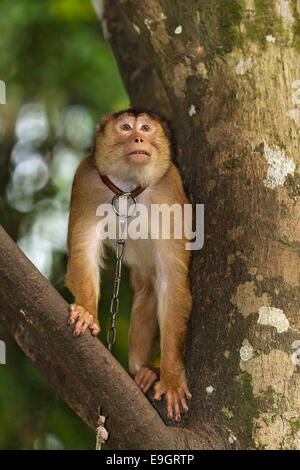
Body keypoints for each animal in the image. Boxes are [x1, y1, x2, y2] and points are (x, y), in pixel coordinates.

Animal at [65, 108, 192, 420]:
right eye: (125, 127)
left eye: (145, 128)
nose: (137, 138)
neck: (127, 188)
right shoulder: (87, 179)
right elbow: (83, 250)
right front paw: (87, 311)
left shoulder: (169, 188)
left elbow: (173, 280)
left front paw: (171, 379)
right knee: (146, 293)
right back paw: (140, 373)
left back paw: (149, 373)